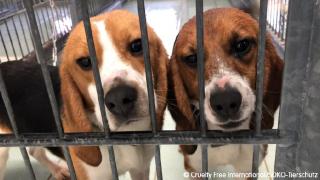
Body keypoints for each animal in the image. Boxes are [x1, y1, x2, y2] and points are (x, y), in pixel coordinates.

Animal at [168, 8, 282, 176]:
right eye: (191, 58)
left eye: (242, 45)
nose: (225, 101)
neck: (224, 142)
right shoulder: (195, 169)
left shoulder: (248, 168)